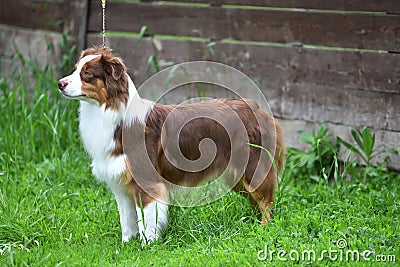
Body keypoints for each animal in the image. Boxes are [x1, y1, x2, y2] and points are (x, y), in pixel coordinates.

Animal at [57, 46, 286, 245]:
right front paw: (125, 244)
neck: (111, 114)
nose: (60, 83)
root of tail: (258, 109)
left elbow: (146, 220)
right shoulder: (119, 184)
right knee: (256, 201)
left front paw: (147, 245)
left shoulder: (147, 182)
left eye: (87, 74)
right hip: (235, 176)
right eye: (75, 69)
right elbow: (127, 219)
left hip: (252, 168)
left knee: (267, 201)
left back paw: (264, 229)